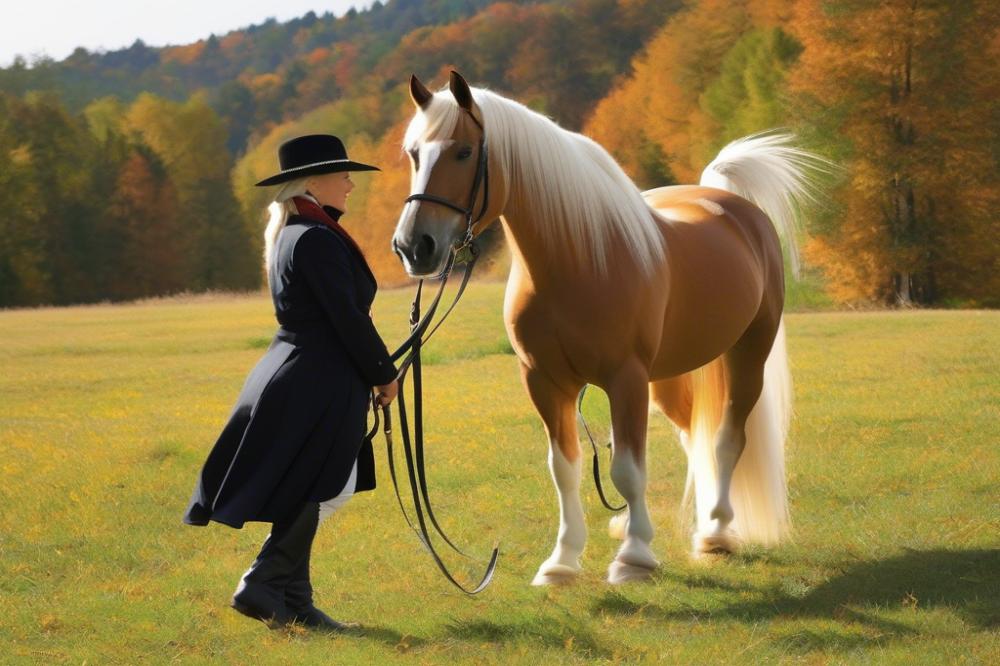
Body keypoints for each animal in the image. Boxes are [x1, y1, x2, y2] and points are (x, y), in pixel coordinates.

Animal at [394, 70, 824, 584]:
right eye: (414, 153)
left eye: (463, 151)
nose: (413, 247)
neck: (577, 261)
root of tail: (733, 208)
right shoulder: (544, 381)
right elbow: (564, 468)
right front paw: (562, 561)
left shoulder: (626, 379)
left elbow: (627, 470)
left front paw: (634, 557)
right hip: (669, 376)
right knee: (692, 439)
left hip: (746, 355)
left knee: (725, 440)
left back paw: (715, 531)